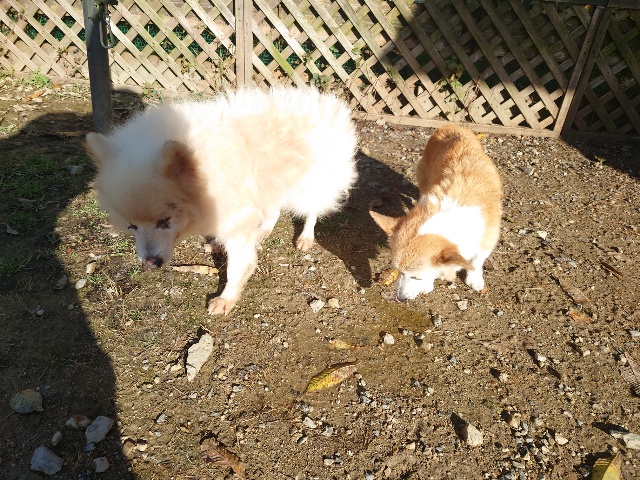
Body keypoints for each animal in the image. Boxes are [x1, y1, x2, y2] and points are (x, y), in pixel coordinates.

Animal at [85, 86, 358, 315]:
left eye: (165, 221)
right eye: (131, 226)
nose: (150, 265)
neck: (204, 170)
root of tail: (326, 103)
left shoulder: (237, 217)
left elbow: (237, 266)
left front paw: (227, 298)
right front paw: (218, 245)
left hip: (310, 187)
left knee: (312, 210)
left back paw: (306, 237)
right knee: (274, 211)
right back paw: (262, 232)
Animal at [370, 124, 502, 302]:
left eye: (416, 277)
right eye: (398, 271)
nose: (400, 299)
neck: (453, 219)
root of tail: (452, 126)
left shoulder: (488, 238)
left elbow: (477, 261)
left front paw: (474, 279)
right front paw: (428, 284)